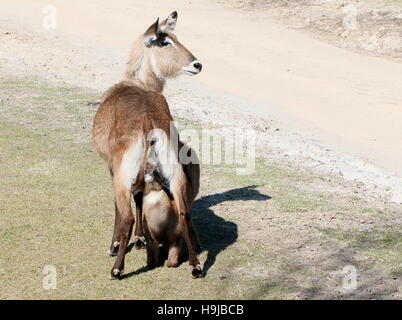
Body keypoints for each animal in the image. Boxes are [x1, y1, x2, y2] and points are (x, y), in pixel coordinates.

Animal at [92, 11, 203, 278]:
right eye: (166, 41)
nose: (197, 64)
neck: (137, 84)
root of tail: (147, 123)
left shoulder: (112, 169)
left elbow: (123, 206)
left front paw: (121, 244)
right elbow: (142, 197)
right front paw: (142, 239)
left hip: (123, 177)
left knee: (126, 216)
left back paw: (116, 267)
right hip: (175, 176)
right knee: (183, 212)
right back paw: (195, 265)